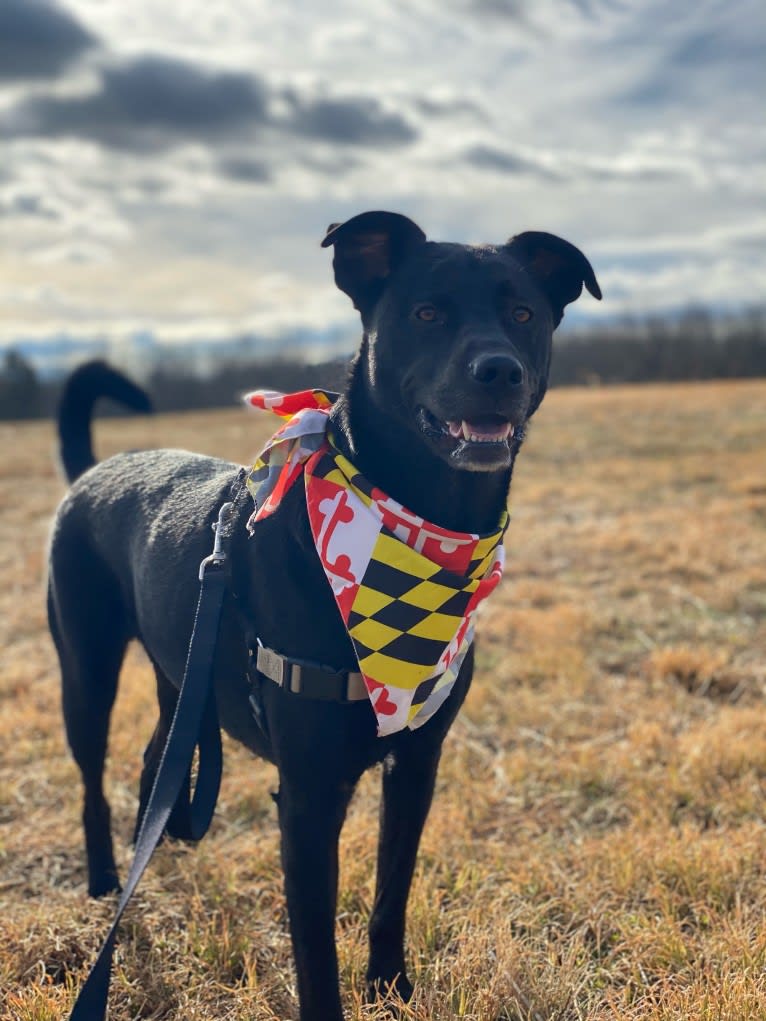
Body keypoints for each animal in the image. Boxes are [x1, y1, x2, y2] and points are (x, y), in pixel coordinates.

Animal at [48, 209, 604, 1021]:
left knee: (159, 758)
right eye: (427, 313)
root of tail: (94, 469)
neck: (419, 524)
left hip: (181, 673)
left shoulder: (417, 765)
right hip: (85, 670)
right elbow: (315, 948)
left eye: (524, 314)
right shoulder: (309, 795)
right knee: (91, 779)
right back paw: (102, 885)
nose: (498, 370)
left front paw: (391, 988)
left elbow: (391, 893)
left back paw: (168, 841)